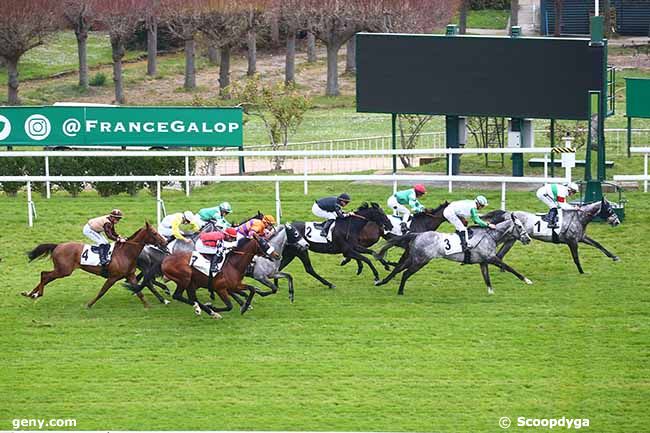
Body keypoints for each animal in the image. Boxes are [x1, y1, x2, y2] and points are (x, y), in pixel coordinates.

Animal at [24, 223, 167, 308]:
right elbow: (102, 292)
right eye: (154, 233)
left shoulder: (130, 275)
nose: (165, 242)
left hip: (61, 270)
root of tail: (58, 246)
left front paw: (149, 306)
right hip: (63, 270)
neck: (126, 252)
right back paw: (36, 294)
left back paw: (30, 293)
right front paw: (89, 304)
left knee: (46, 277)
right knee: (44, 274)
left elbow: (140, 291)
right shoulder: (113, 277)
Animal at [372, 213, 528, 296]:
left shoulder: (483, 261)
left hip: (413, 257)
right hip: (421, 260)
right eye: (520, 226)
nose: (528, 239)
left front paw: (490, 292)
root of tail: (418, 234)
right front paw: (526, 280)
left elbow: (487, 278)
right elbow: (508, 267)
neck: (490, 236)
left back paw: (382, 282)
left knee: (398, 268)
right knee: (405, 273)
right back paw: (400, 291)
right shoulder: (491, 258)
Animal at [480, 197, 616, 272]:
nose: (617, 221)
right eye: (610, 209)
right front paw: (582, 272)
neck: (578, 217)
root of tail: (505, 213)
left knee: (500, 254)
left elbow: (598, 244)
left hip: (511, 240)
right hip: (508, 238)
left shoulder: (581, 238)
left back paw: (502, 270)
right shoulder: (572, 241)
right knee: (498, 253)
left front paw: (614, 257)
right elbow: (576, 258)